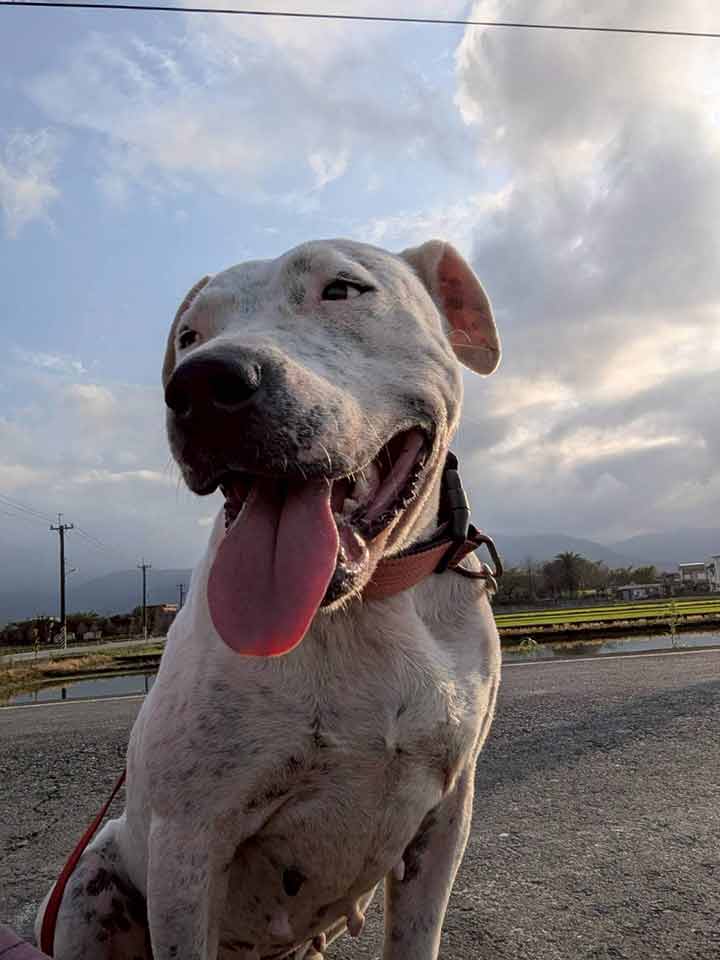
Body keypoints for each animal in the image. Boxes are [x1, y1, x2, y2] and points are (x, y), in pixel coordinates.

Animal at [36, 238, 502, 960]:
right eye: (189, 336)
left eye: (342, 289)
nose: (200, 384)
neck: (363, 608)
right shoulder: (186, 842)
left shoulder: (446, 815)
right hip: (91, 880)